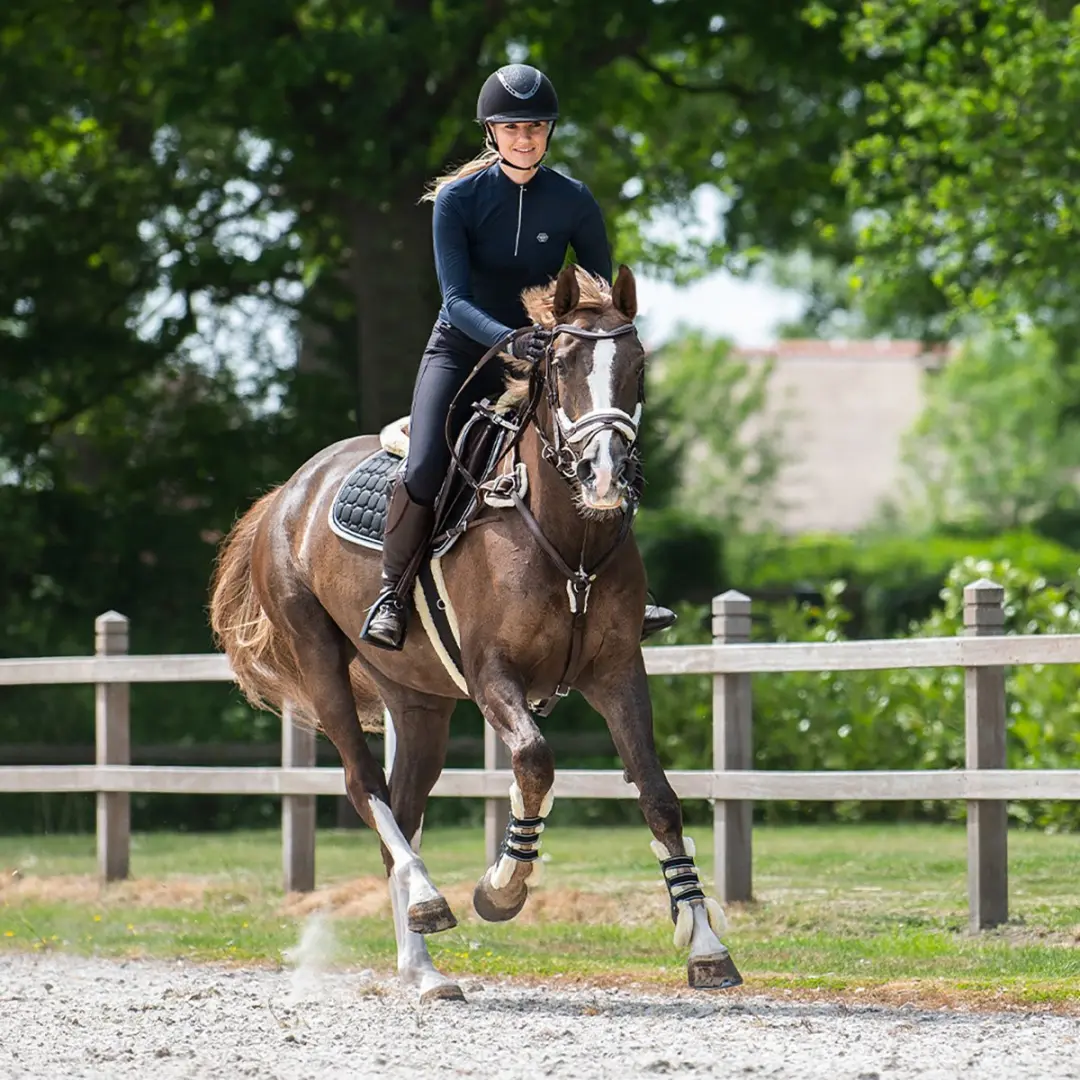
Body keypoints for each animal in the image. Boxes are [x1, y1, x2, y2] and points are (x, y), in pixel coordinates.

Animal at [209, 263, 741, 1002]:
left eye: (637, 366)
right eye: (562, 363)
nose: (605, 475)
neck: (569, 540)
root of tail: (285, 495)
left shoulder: (617, 673)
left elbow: (658, 797)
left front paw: (706, 944)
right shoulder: (492, 674)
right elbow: (535, 761)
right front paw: (502, 888)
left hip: (418, 701)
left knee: (401, 808)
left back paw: (423, 967)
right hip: (319, 661)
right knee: (365, 785)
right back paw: (429, 902)